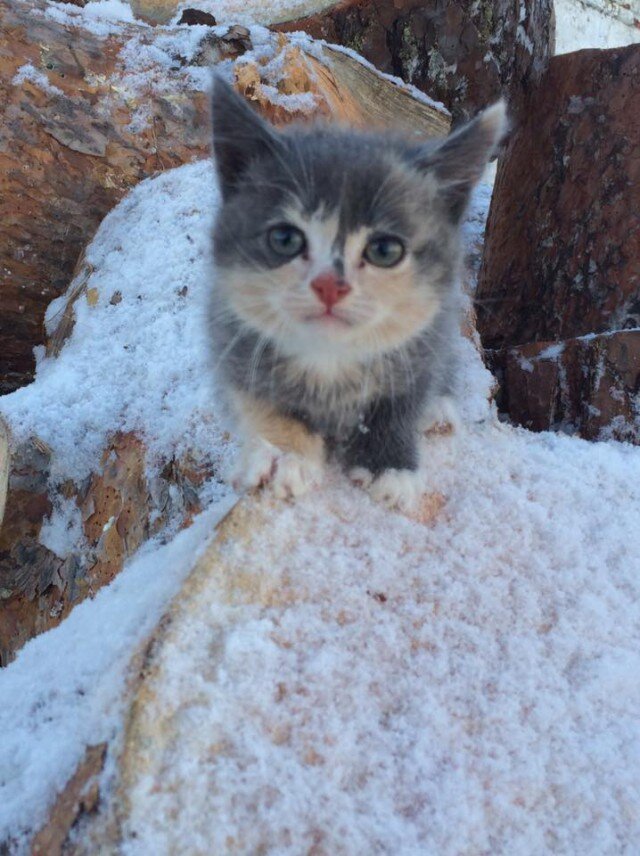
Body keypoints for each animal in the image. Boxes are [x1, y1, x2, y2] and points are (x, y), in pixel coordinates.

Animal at [210, 77, 504, 508]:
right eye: (285, 239)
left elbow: (405, 399)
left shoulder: (428, 338)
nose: (330, 284)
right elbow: (255, 398)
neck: (330, 357)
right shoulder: (229, 332)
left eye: (384, 250)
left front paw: (391, 465)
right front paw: (284, 452)